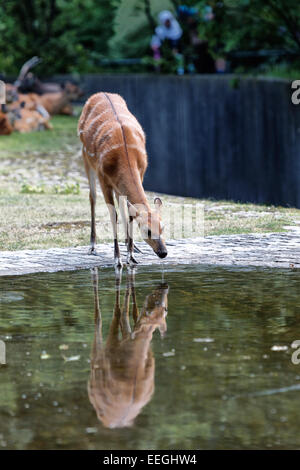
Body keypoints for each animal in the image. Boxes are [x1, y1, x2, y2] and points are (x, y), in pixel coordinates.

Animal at [77, 92, 168, 268]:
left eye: (162, 227)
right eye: (147, 231)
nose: (163, 252)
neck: (125, 156)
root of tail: (99, 93)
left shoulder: (141, 172)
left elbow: (129, 212)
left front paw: (131, 257)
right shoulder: (103, 178)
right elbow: (114, 215)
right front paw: (117, 260)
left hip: (117, 185)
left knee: (123, 205)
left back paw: (133, 247)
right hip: (85, 155)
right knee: (92, 197)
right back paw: (92, 246)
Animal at [88, 266, 170, 428]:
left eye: (165, 308)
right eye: (154, 304)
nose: (165, 286)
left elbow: (126, 312)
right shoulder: (110, 350)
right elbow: (119, 312)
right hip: (96, 371)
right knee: (98, 321)